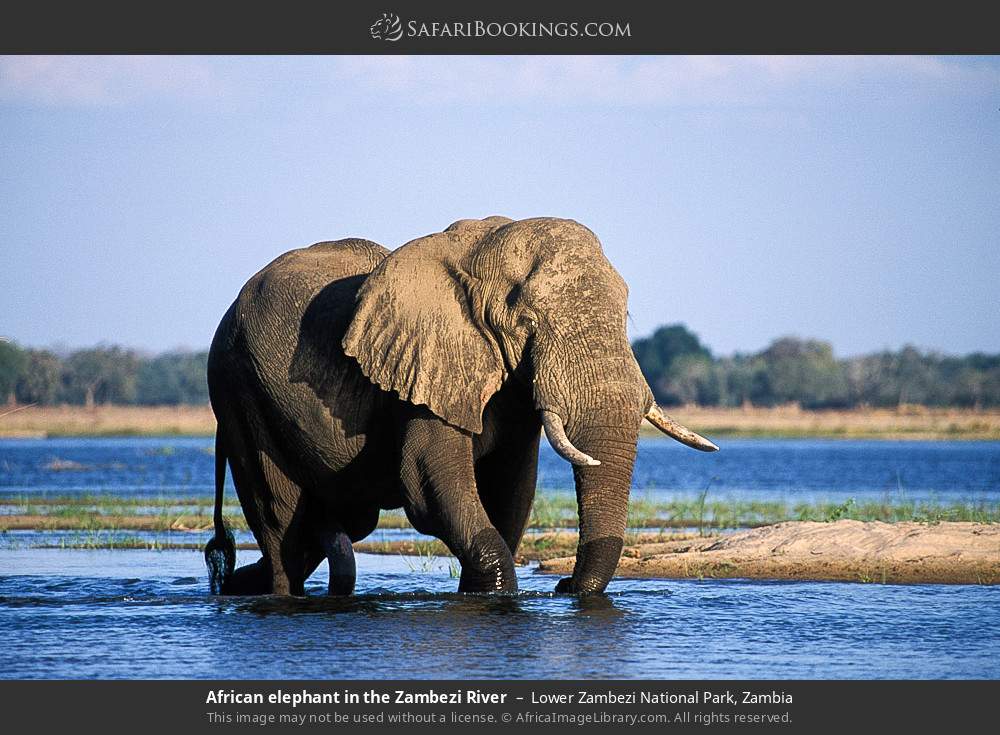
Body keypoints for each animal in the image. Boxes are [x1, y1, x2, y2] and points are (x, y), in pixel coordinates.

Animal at [203, 216, 717, 597]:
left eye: (626, 314)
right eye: (526, 321)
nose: (564, 587)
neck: (480, 251)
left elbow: (512, 488)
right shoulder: (427, 366)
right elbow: (430, 484)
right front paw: (496, 592)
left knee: (332, 528)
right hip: (238, 389)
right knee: (282, 524)